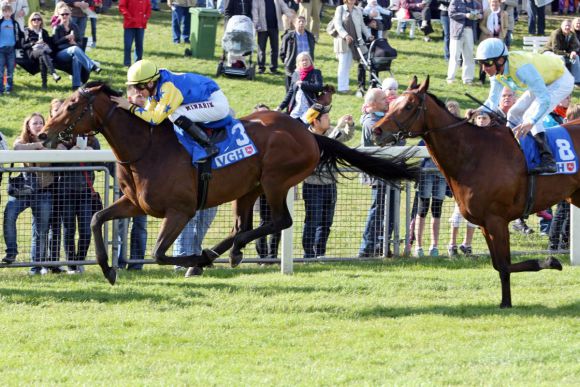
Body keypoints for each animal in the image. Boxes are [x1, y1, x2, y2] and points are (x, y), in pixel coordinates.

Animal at [40, 82, 420, 286]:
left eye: (72, 106)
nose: (43, 134)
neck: (145, 148)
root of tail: (308, 133)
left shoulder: (180, 210)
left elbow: (159, 253)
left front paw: (194, 257)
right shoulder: (135, 204)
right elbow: (95, 218)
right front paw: (107, 269)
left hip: (275, 180)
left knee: (279, 220)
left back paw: (212, 256)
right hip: (249, 189)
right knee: (245, 225)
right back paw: (221, 253)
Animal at [372, 76, 572, 310]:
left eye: (408, 106)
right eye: (390, 104)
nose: (376, 131)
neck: (474, 153)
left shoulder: (496, 219)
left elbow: (504, 264)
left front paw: (548, 263)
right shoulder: (485, 223)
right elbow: (499, 264)